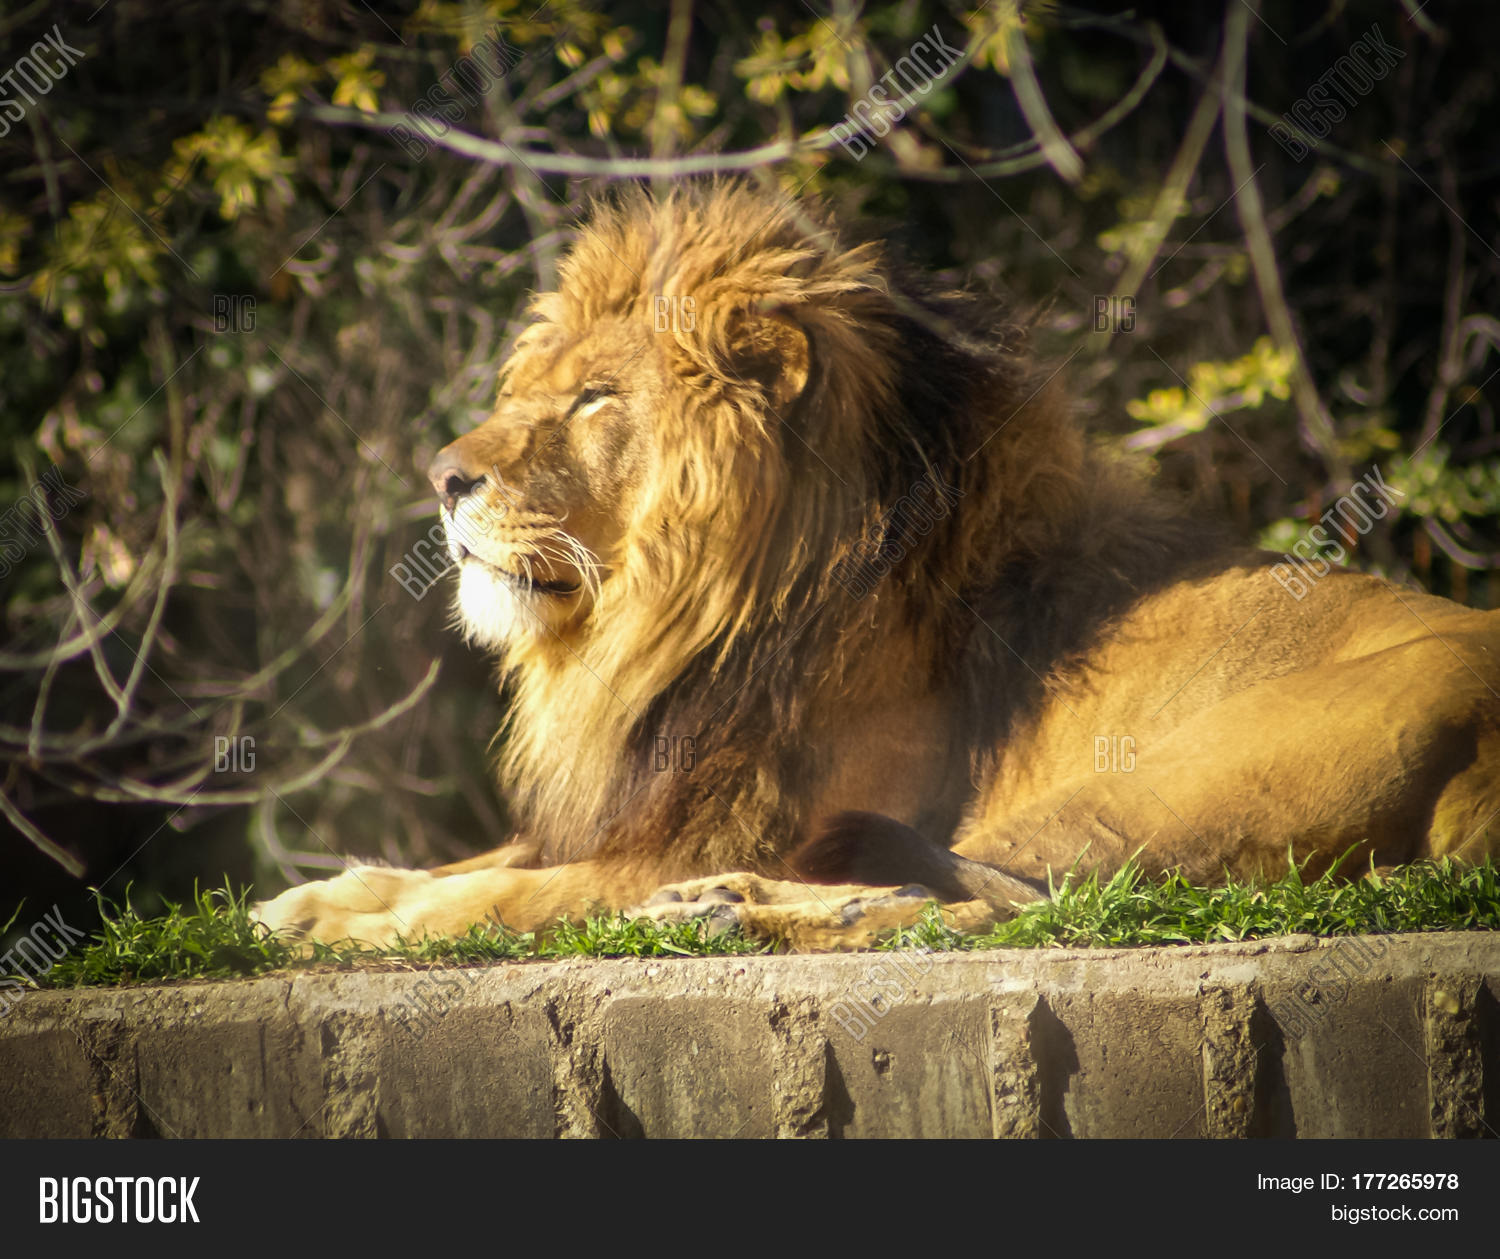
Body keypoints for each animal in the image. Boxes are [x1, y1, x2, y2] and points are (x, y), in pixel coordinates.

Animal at [253, 181, 1500, 951]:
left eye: (597, 397)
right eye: (537, 385)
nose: (441, 474)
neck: (683, 627)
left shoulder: (705, 829)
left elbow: (505, 891)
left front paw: (366, 931)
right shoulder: (651, 811)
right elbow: (458, 863)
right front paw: (305, 903)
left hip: (1160, 785)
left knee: (1017, 905)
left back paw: (723, 911)